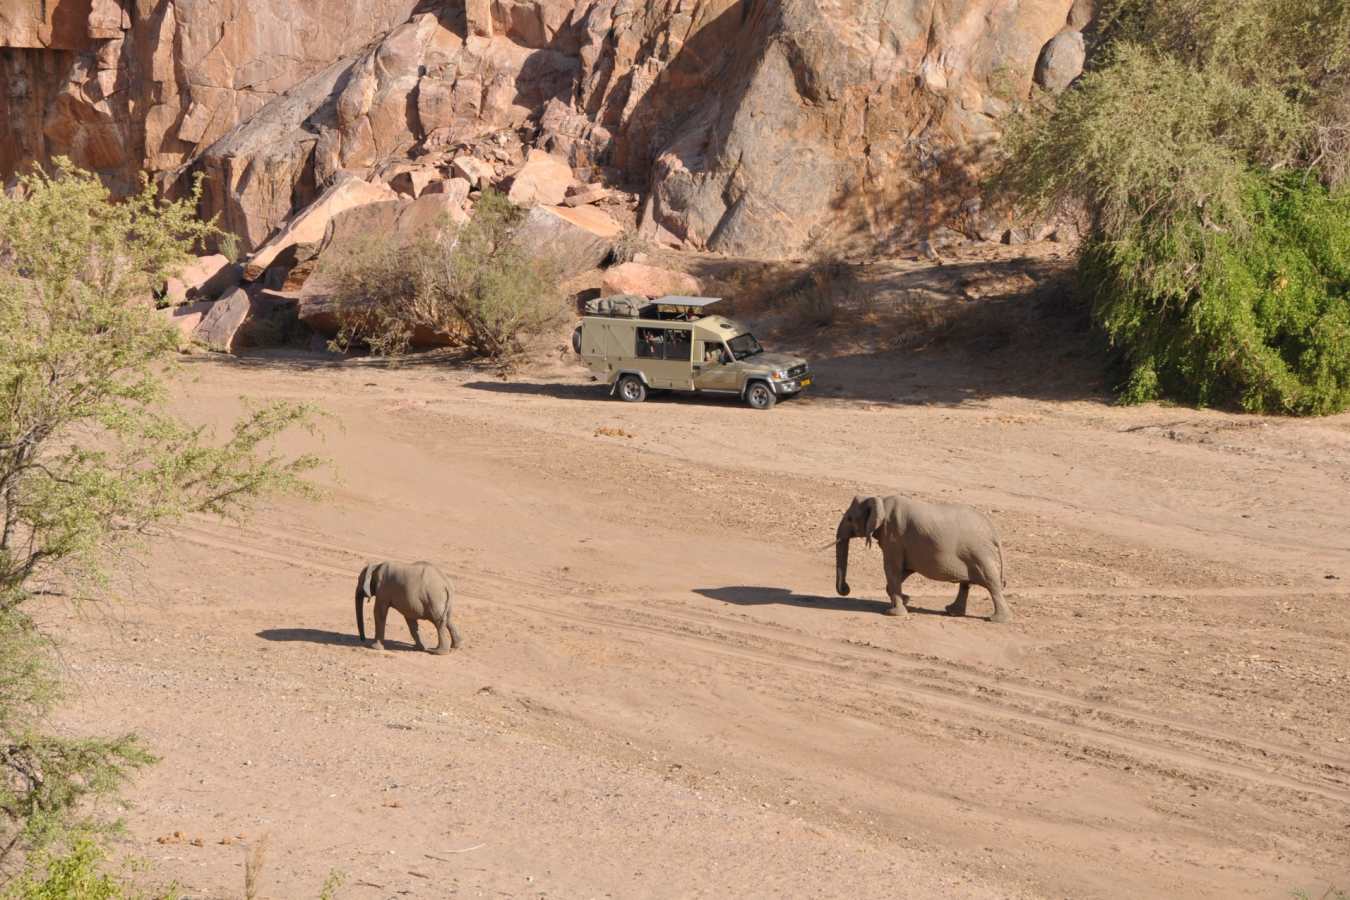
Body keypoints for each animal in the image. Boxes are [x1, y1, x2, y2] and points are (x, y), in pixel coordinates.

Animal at [835, 495, 1010, 623]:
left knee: (991, 583)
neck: (880, 500)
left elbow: (892, 569)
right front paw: (906, 600)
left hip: (979, 554)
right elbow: (904, 570)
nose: (846, 589)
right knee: (966, 584)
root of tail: (994, 532)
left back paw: (997, 620)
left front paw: (893, 613)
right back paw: (952, 612)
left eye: (849, 518)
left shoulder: (894, 536)